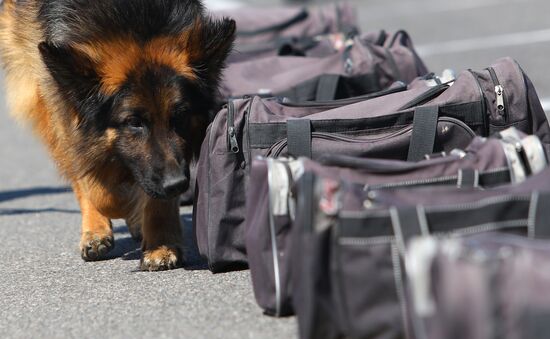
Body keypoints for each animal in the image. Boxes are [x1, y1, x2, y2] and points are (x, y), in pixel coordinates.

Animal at [0, 0, 235, 270]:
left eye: (180, 116)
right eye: (133, 122)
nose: (176, 184)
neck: (131, 18)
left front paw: (161, 243)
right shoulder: (56, 93)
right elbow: (97, 185)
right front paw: (120, 208)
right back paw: (97, 228)